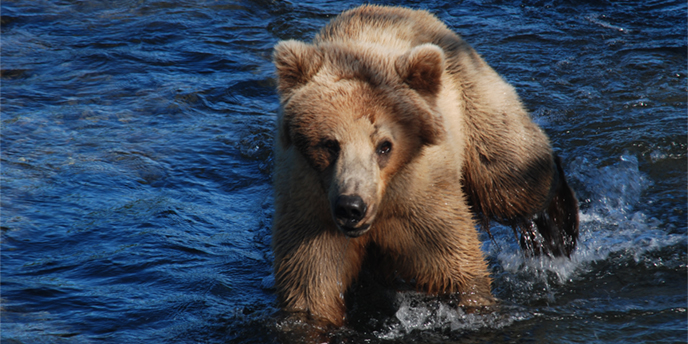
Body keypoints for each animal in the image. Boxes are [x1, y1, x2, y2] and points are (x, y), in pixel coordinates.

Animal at [272, 4, 576, 334]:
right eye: (329, 144)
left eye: (384, 146)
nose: (352, 206)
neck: (383, 203)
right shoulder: (311, 211)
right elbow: (312, 289)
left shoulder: (424, 201)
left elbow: (456, 268)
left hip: (473, 101)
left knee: (510, 177)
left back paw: (558, 233)